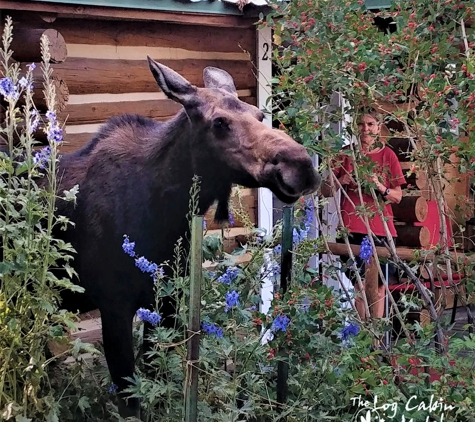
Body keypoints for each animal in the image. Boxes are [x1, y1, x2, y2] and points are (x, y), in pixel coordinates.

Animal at [52, 57, 322, 418]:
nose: (301, 166)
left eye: (258, 115)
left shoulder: (166, 300)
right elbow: (132, 400)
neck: (166, 213)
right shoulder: (114, 305)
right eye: (219, 122)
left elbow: (158, 379)